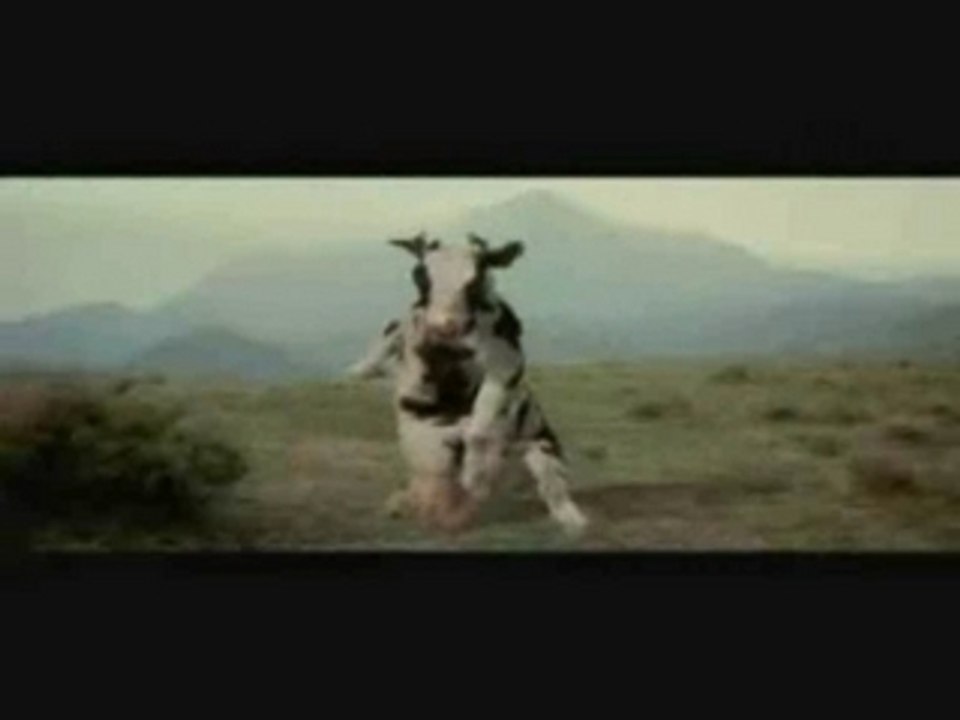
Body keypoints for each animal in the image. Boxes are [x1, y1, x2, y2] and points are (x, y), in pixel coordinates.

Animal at [347, 232, 589, 536]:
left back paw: (573, 521)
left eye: (475, 280)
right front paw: (360, 369)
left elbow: (479, 429)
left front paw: (476, 478)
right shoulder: (410, 339)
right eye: (419, 275)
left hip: (541, 447)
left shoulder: (506, 365)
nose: (445, 326)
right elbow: (389, 335)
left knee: (550, 484)